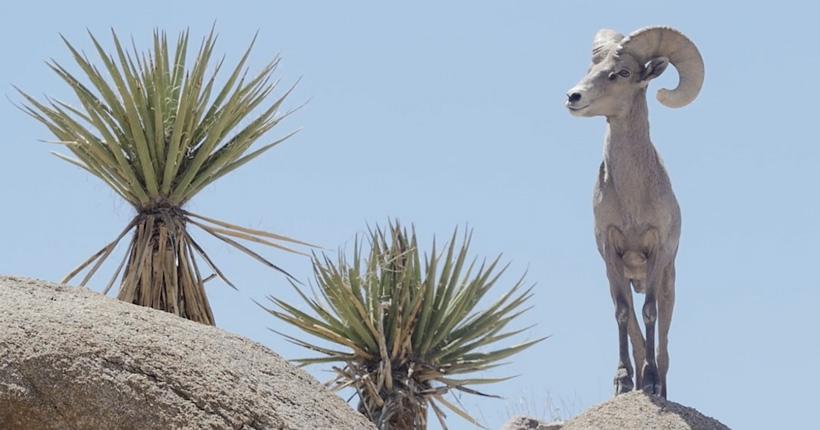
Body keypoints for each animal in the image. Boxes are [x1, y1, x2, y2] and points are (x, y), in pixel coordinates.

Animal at [565, 26, 704, 398]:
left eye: (622, 73)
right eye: (592, 68)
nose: (573, 97)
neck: (632, 200)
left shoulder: (656, 253)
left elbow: (649, 313)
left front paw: (652, 383)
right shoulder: (611, 255)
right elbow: (624, 314)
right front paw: (624, 381)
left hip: (669, 283)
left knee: (664, 343)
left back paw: (658, 386)